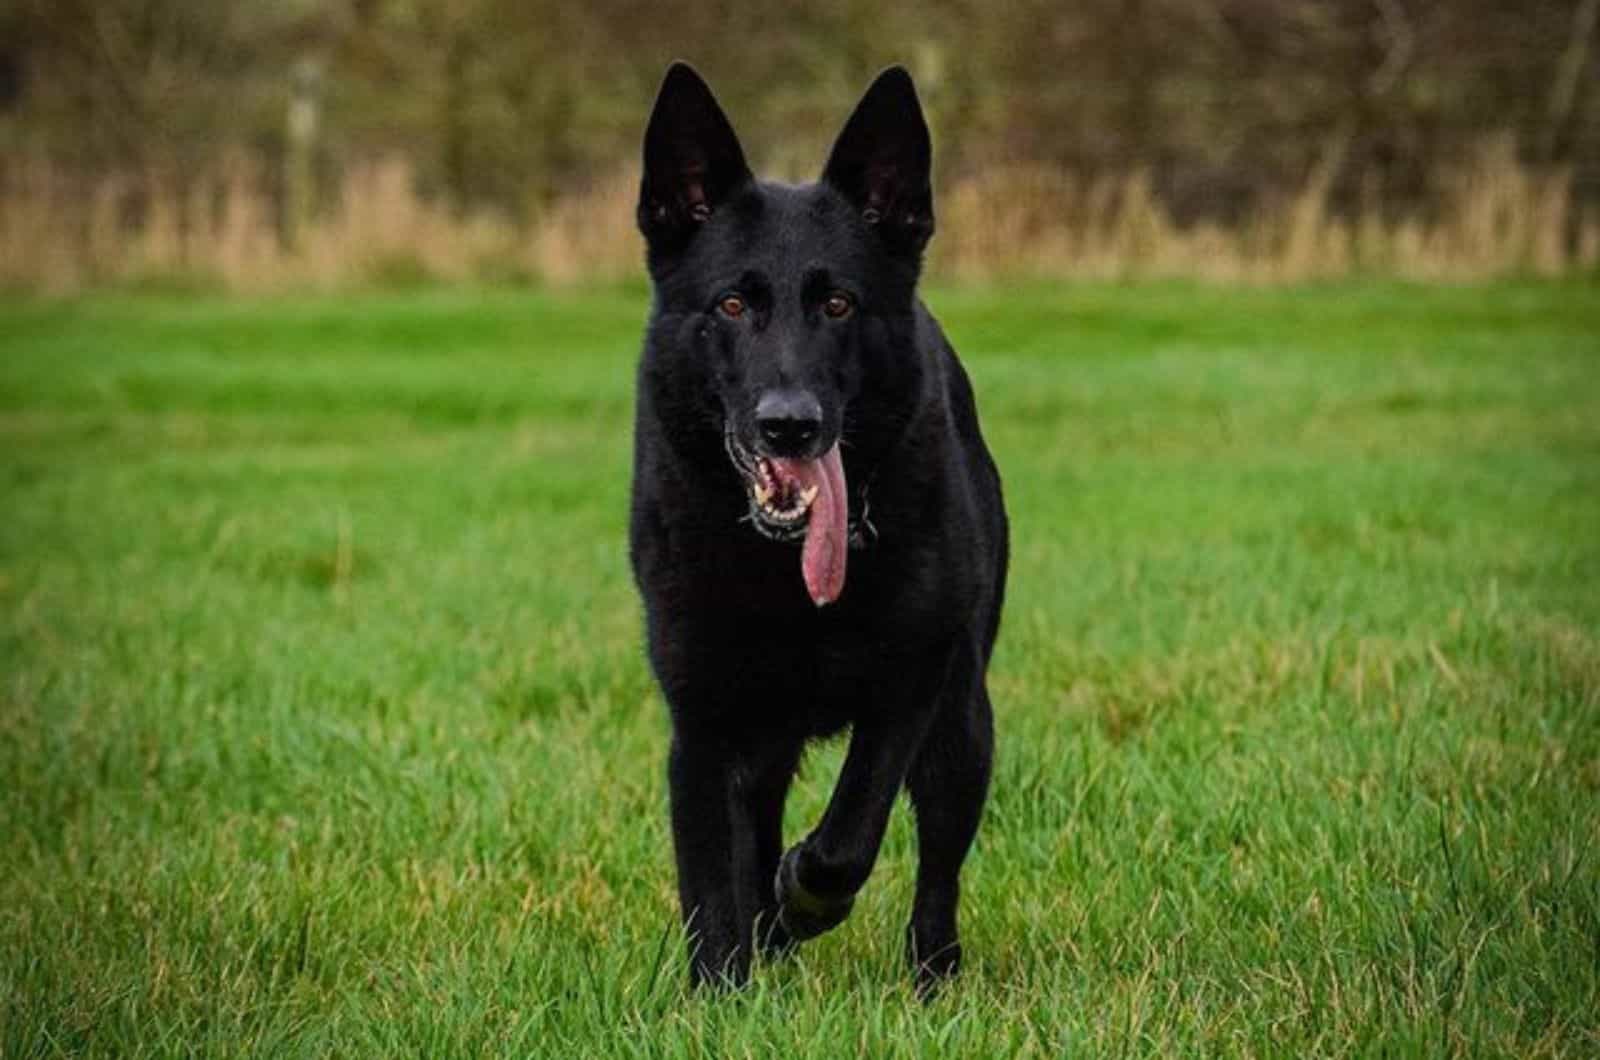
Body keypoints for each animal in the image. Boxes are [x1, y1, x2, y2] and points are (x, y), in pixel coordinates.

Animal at [630, 62, 1004, 992]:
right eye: (732, 304)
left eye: (837, 303)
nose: (789, 426)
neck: (784, 573)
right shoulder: (704, 721)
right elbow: (709, 879)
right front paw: (722, 991)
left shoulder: (910, 686)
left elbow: (850, 830)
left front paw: (807, 897)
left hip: (964, 727)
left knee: (937, 864)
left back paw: (931, 974)